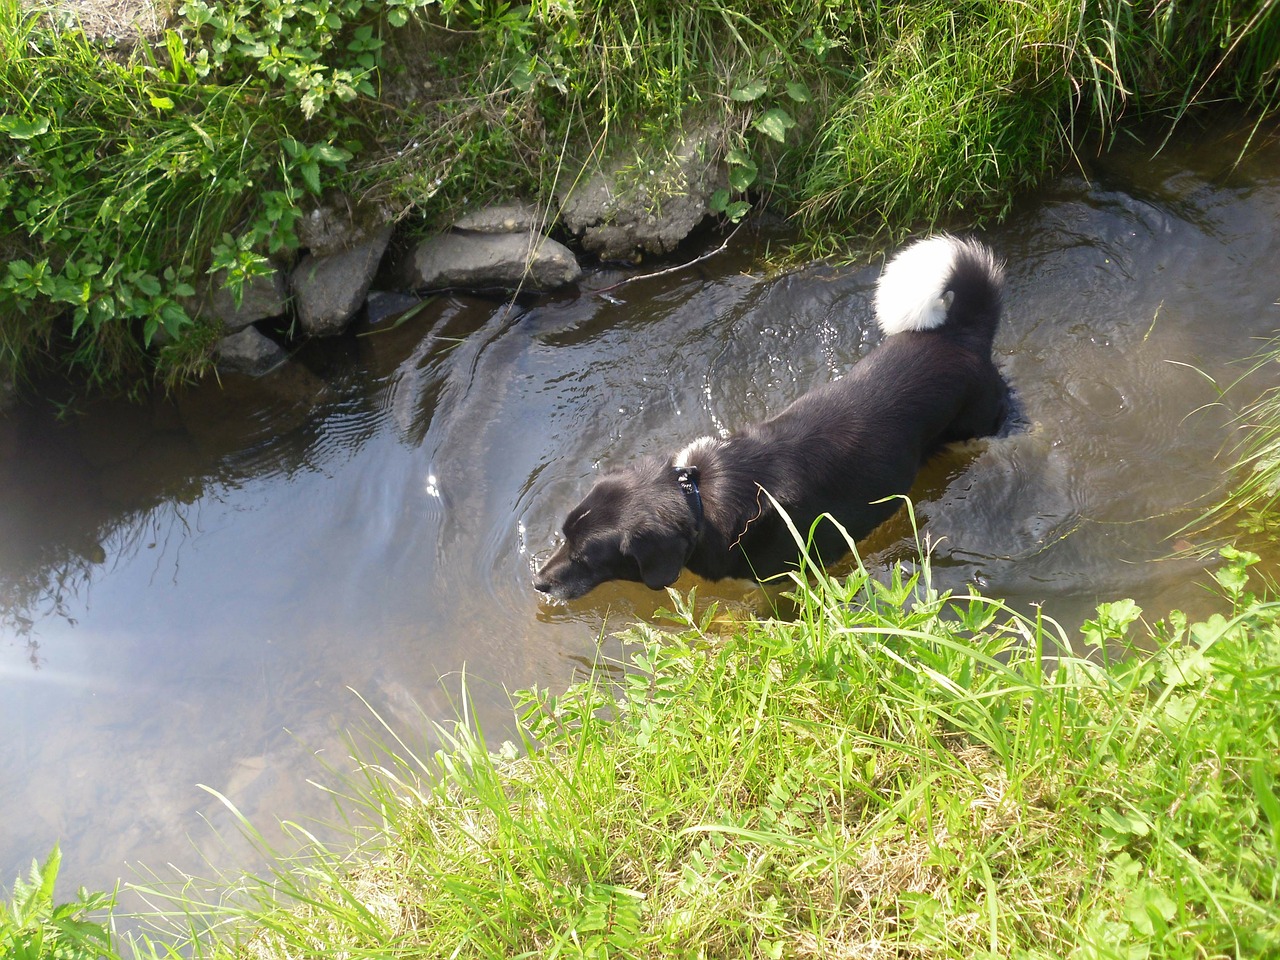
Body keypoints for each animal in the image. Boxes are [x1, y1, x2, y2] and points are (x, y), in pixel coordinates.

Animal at [532, 235, 1008, 601]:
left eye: (584, 557)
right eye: (563, 535)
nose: (537, 583)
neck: (695, 499)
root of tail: (962, 333)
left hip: (974, 427)